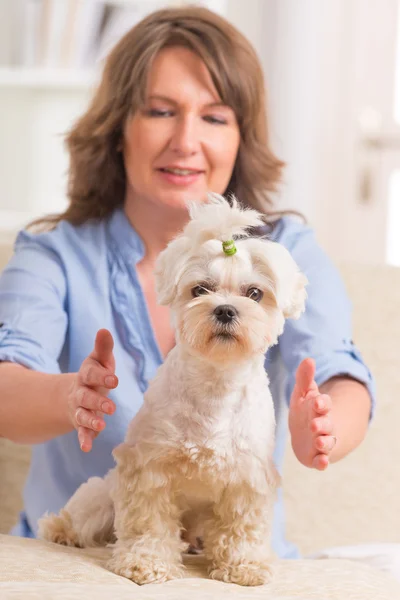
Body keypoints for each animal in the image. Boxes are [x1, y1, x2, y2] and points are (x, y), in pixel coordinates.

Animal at [39, 196, 308, 584]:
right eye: (200, 290)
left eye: (255, 294)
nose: (225, 310)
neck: (215, 385)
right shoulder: (150, 467)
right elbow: (149, 523)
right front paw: (146, 562)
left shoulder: (247, 477)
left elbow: (241, 528)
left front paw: (245, 565)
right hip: (103, 496)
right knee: (85, 517)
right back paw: (62, 530)